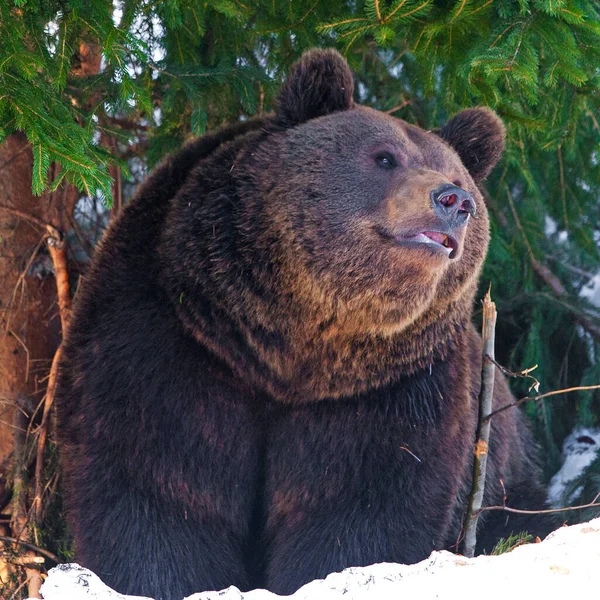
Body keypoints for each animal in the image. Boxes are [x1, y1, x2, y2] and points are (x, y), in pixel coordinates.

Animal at [58, 50, 556, 600]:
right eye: (385, 157)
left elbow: (363, 506)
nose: (453, 201)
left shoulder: (394, 390)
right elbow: (154, 482)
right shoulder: (172, 337)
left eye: (458, 176)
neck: (292, 350)